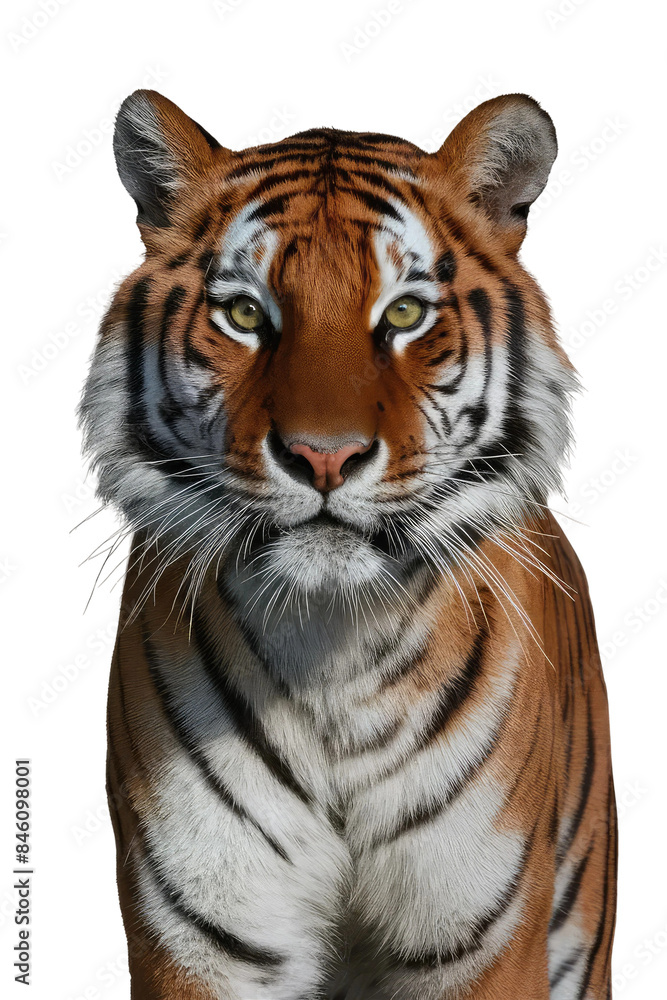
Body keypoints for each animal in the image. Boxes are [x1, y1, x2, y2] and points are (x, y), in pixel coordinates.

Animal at [79, 89, 617, 999]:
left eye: (402, 313)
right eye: (245, 314)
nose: (322, 455)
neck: (331, 647)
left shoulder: (479, 938)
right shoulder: (200, 935)